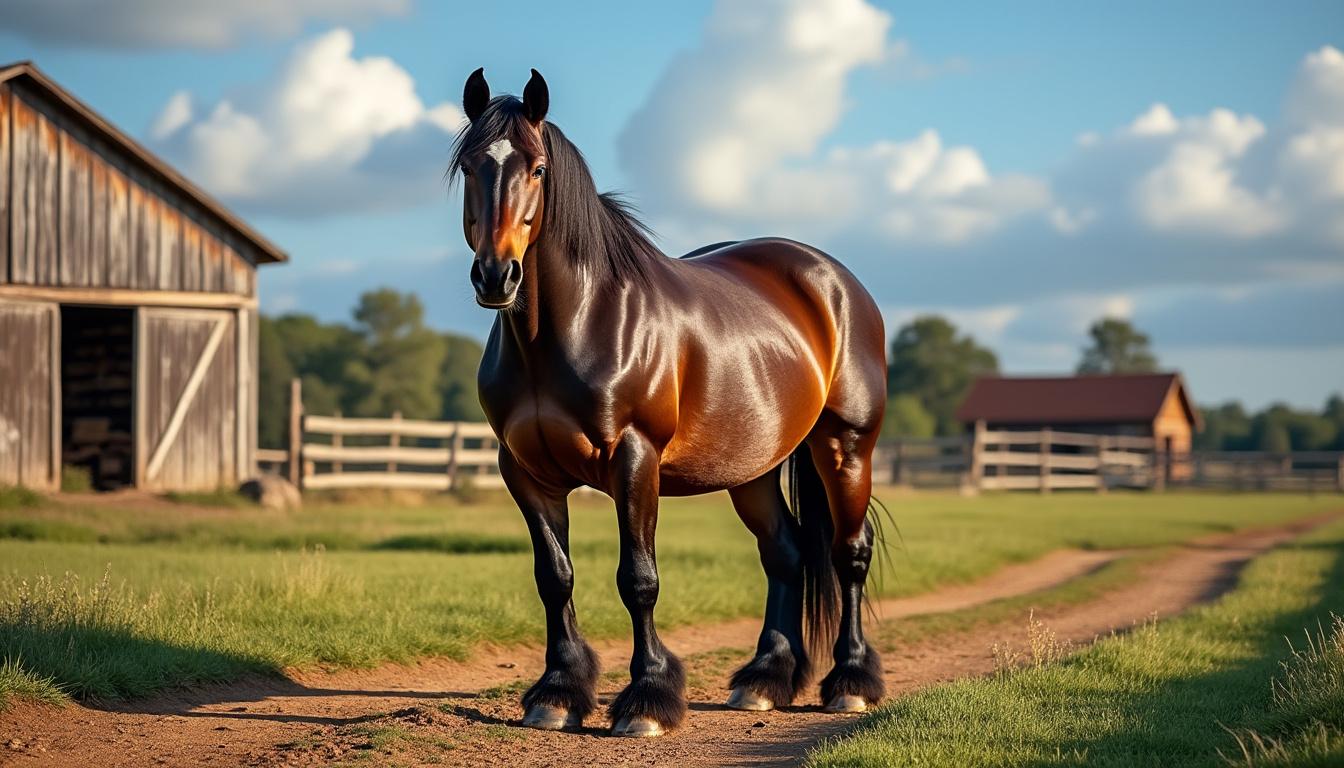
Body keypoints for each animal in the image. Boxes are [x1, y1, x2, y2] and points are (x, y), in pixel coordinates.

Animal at [453, 68, 888, 738]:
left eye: (538, 168)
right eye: (470, 165)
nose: (496, 276)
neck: (573, 327)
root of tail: (834, 280)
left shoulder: (635, 460)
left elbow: (638, 579)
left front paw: (648, 699)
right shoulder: (524, 471)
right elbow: (554, 577)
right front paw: (557, 693)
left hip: (845, 447)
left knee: (849, 554)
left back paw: (852, 682)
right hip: (753, 468)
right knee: (785, 553)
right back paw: (763, 680)